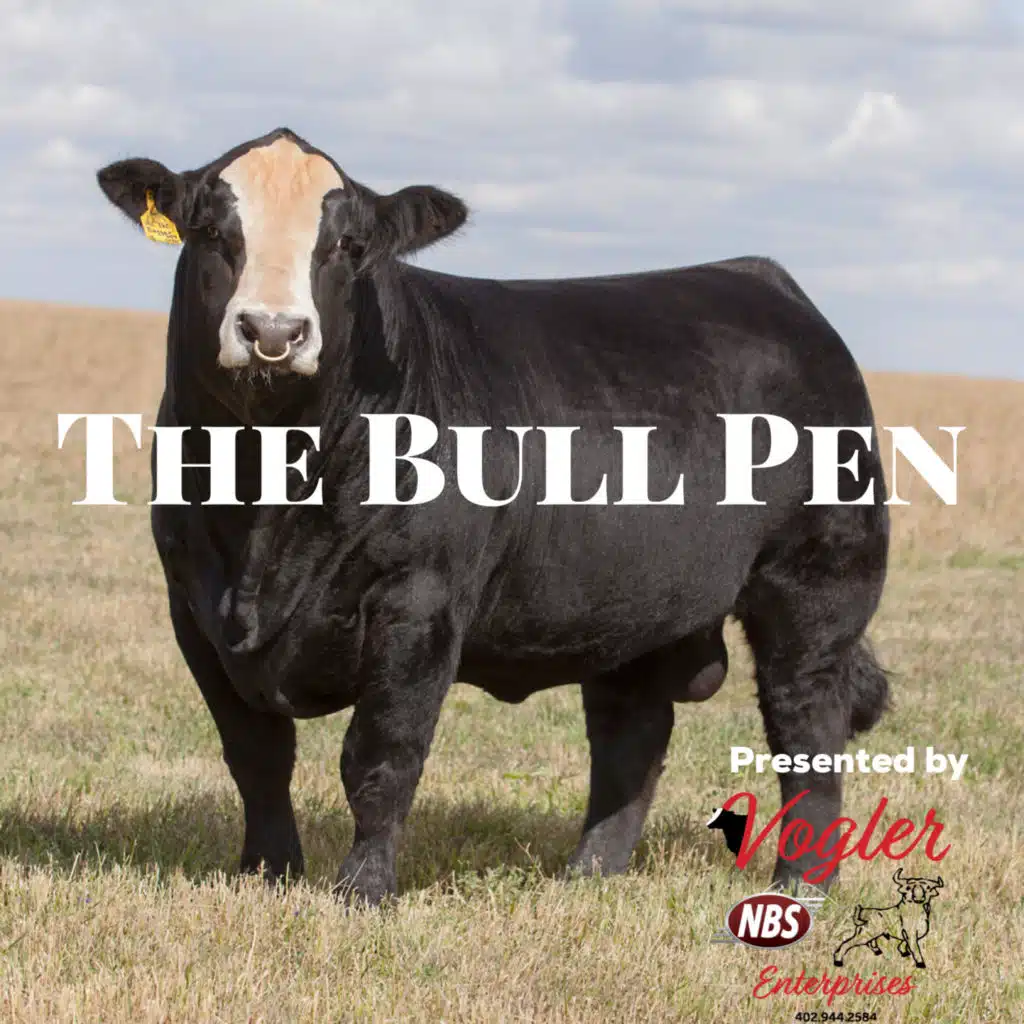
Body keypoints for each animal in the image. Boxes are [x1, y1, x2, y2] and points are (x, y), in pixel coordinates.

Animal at [95, 126, 890, 907]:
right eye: (209, 230)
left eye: (348, 245)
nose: (272, 329)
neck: (268, 508)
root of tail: (767, 285)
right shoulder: (195, 608)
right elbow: (255, 754)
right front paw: (268, 872)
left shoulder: (419, 602)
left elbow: (381, 757)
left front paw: (362, 890)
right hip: (629, 604)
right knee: (631, 733)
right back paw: (587, 877)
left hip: (816, 584)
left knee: (805, 721)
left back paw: (800, 886)